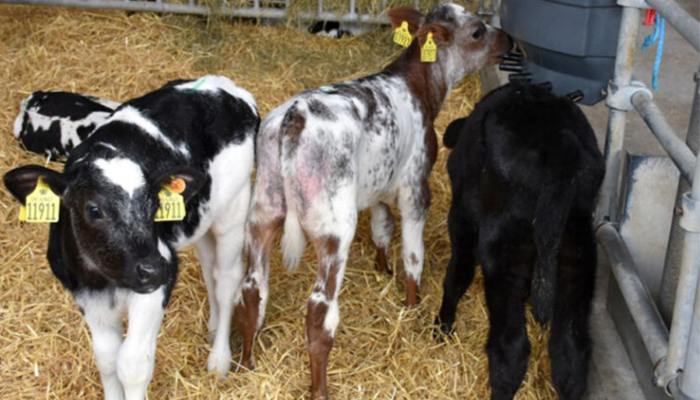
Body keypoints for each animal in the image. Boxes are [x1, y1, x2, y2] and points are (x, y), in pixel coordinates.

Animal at [4, 76, 258, 400]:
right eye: (94, 210)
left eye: (154, 206)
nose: (154, 269)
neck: (107, 277)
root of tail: (223, 85)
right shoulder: (85, 294)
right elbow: (107, 359)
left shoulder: (156, 284)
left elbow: (132, 364)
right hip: (201, 218)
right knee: (209, 268)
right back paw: (213, 329)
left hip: (233, 209)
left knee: (227, 279)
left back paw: (219, 359)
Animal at [232, 4, 512, 399]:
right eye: (477, 31)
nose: (509, 39)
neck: (417, 85)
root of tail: (295, 116)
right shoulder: (415, 188)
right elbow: (413, 253)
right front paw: (412, 307)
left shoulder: (378, 185)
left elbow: (383, 227)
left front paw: (382, 268)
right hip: (334, 227)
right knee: (319, 311)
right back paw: (319, 389)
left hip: (264, 209)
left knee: (253, 291)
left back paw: (246, 364)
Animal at [435, 83, 605, 400]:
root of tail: (560, 139)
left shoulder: (462, 215)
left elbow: (457, 275)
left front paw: (442, 326)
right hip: (577, 259)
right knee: (570, 352)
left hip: (505, 256)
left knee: (510, 348)